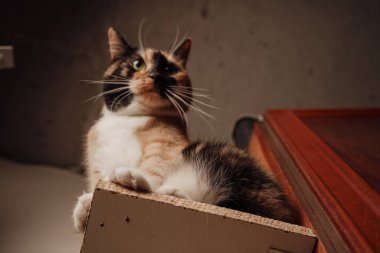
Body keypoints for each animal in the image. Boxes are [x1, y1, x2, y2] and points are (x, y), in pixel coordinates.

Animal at [72, 27, 298, 231]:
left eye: (170, 69)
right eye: (138, 63)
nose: (156, 74)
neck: (128, 120)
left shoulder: (168, 147)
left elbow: (154, 170)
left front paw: (132, 177)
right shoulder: (96, 162)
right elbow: (95, 185)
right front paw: (84, 210)